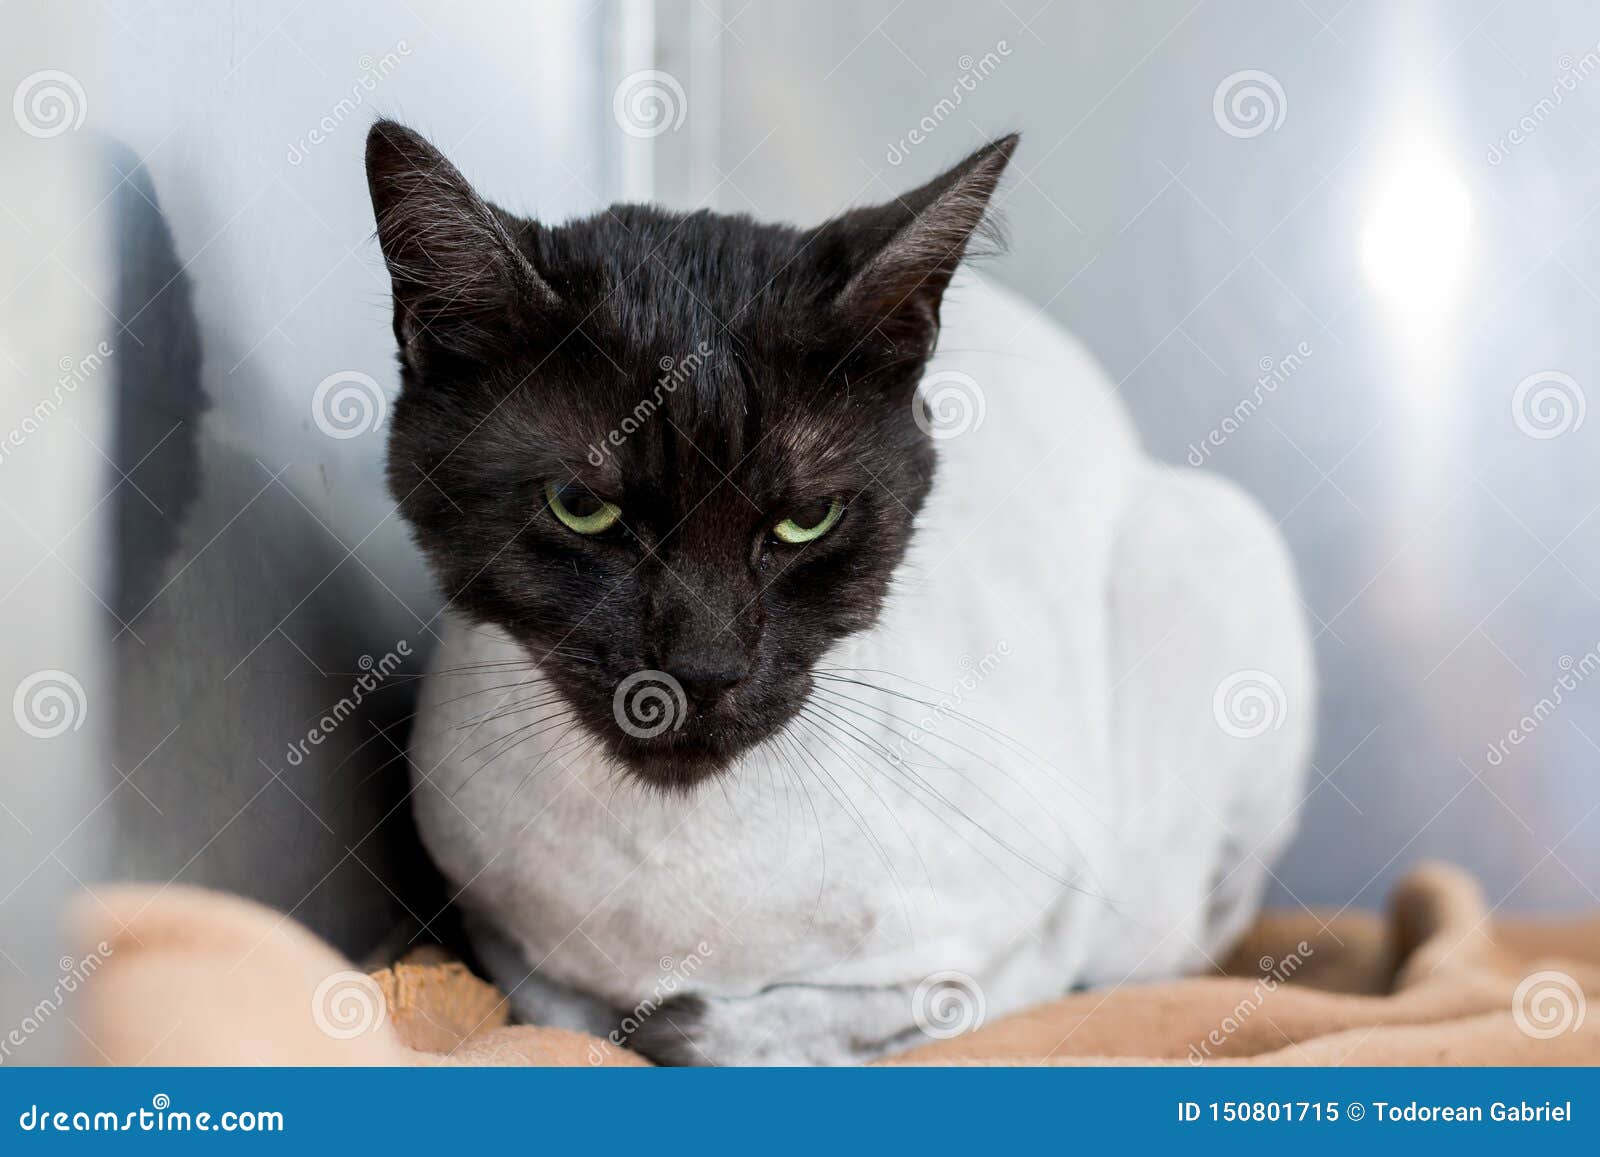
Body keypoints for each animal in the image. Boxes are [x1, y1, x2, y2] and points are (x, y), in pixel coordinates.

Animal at [366, 120, 1312, 1068]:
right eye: (580, 506)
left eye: (808, 520)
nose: (701, 668)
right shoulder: (495, 932)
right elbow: (570, 1006)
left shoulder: (1048, 912)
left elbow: (904, 1004)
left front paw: (721, 1026)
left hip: (1214, 555)